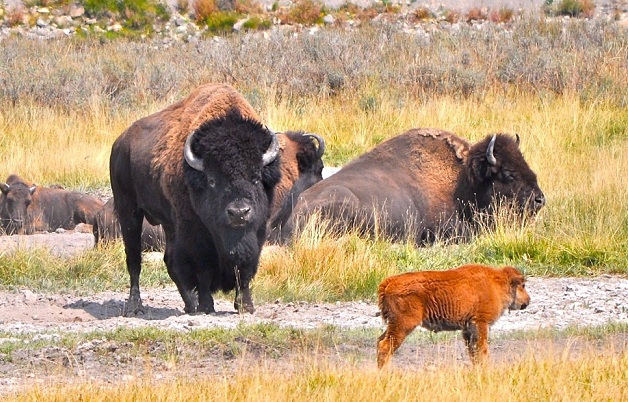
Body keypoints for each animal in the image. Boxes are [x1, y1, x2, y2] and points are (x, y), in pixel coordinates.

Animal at [110, 83, 288, 316]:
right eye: (212, 180)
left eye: (256, 177)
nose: (238, 213)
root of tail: (120, 143)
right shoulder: (196, 234)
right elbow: (203, 270)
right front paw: (207, 305)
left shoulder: (257, 231)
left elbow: (244, 268)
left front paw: (245, 306)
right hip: (128, 210)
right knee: (134, 259)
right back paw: (135, 307)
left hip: (168, 223)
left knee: (169, 260)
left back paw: (190, 305)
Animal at [378, 262, 528, 370]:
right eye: (523, 285)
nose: (528, 300)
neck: (496, 283)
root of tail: (389, 282)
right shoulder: (481, 324)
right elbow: (482, 349)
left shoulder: (468, 329)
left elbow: (473, 352)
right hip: (403, 325)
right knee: (385, 346)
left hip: (393, 324)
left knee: (380, 341)